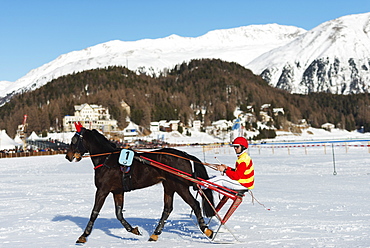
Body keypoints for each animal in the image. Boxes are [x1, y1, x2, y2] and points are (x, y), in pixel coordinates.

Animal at [64, 123, 214, 243]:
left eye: (74, 140)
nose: (68, 156)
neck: (107, 159)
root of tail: (185, 155)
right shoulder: (118, 191)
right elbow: (119, 214)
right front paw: (133, 230)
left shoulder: (102, 190)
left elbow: (94, 213)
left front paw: (83, 236)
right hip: (169, 186)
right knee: (167, 209)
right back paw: (155, 234)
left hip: (180, 186)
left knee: (195, 204)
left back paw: (207, 230)